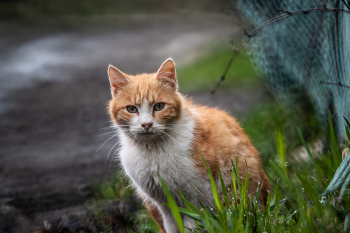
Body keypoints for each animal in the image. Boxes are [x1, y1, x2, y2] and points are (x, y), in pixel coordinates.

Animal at [106, 58, 268, 233]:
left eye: (159, 106)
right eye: (131, 109)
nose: (146, 124)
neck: (153, 151)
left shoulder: (197, 197)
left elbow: (191, 225)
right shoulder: (163, 203)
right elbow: (172, 227)